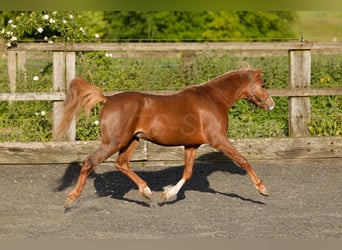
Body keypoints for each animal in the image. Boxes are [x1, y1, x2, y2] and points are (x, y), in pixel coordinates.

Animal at [56, 67, 276, 208]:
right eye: (263, 85)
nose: (271, 105)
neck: (214, 99)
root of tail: (107, 99)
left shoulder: (191, 145)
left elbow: (187, 173)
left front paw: (165, 195)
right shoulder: (218, 139)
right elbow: (243, 160)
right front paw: (263, 189)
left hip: (131, 141)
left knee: (121, 164)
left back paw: (146, 192)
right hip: (113, 142)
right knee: (89, 162)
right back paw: (71, 199)